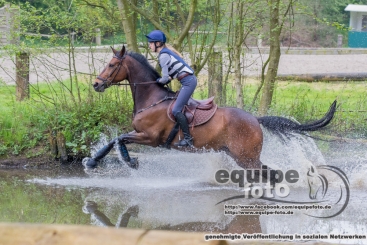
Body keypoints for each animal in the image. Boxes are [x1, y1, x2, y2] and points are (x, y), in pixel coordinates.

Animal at [87, 46, 338, 172]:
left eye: (111, 64)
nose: (96, 84)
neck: (151, 98)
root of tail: (255, 119)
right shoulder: (141, 134)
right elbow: (115, 140)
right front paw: (93, 161)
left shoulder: (150, 137)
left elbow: (119, 139)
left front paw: (128, 162)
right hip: (236, 154)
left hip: (246, 156)